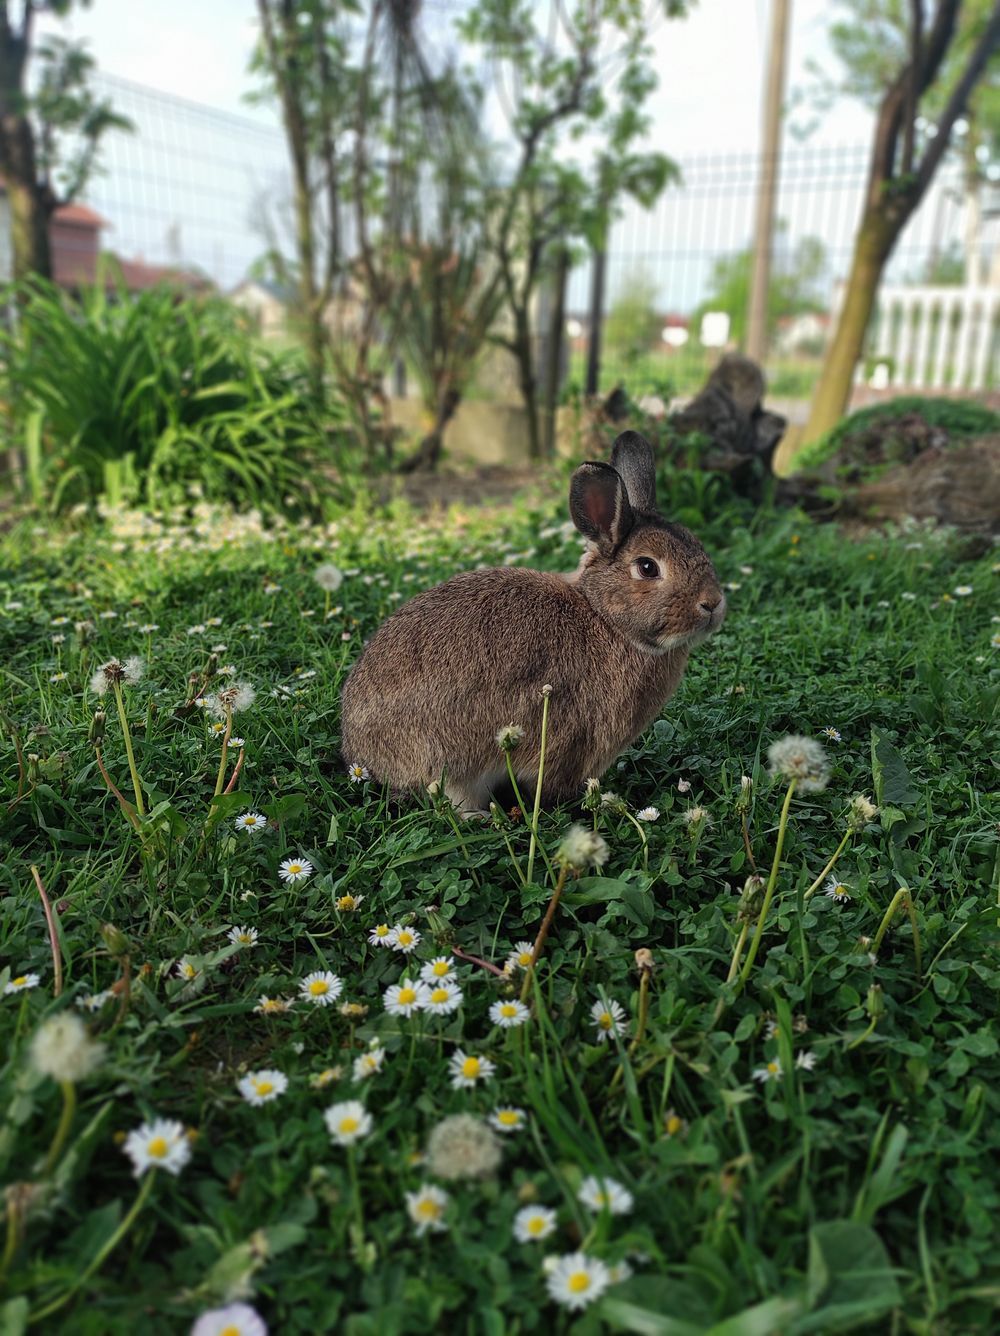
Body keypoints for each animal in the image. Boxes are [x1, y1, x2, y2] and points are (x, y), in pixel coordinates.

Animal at [340, 431, 726, 813]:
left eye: (697, 544)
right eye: (647, 567)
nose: (713, 603)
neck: (604, 617)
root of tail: (360, 750)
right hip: (448, 751)